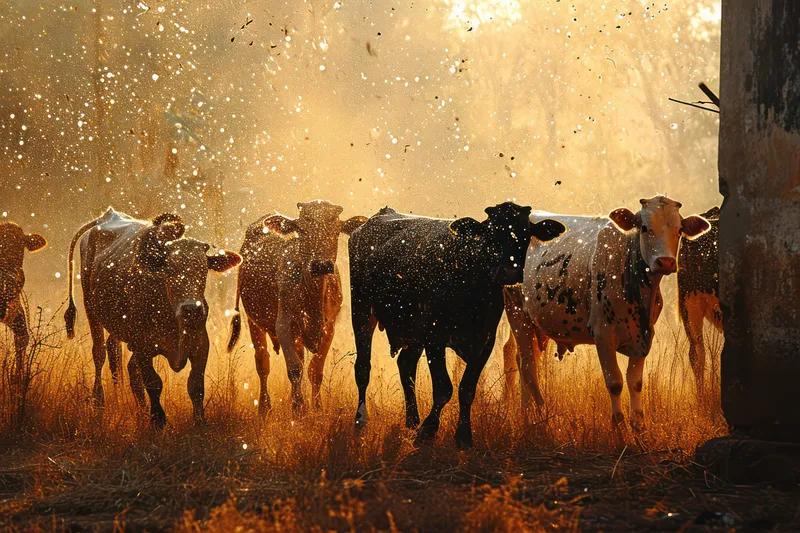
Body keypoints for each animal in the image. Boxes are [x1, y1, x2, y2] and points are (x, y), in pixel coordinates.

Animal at [64, 208, 241, 427]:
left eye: (203, 270)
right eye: (170, 270)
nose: (192, 309)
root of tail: (106, 217)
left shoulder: (200, 344)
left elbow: (196, 385)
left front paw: (199, 421)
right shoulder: (142, 347)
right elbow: (154, 383)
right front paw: (157, 419)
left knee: (120, 359)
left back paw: (137, 408)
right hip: (90, 308)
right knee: (100, 353)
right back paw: (99, 401)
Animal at [227, 200, 367, 417]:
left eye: (336, 229)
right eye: (302, 230)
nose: (320, 265)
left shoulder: (329, 328)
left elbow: (315, 370)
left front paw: (316, 407)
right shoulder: (283, 326)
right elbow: (294, 369)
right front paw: (298, 408)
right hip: (253, 320)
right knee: (262, 363)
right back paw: (264, 407)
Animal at [349, 202, 566, 449]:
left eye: (526, 234)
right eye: (491, 235)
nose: (510, 271)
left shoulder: (484, 342)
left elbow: (467, 389)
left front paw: (463, 434)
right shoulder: (434, 338)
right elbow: (444, 387)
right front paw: (429, 430)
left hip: (412, 332)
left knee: (405, 365)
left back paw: (412, 419)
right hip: (361, 311)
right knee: (363, 369)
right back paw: (361, 421)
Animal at [504, 196, 710, 431]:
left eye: (679, 229)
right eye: (644, 227)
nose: (665, 262)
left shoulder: (645, 336)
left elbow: (635, 382)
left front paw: (638, 424)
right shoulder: (603, 335)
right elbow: (615, 382)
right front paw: (618, 425)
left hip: (537, 327)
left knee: (525, 362)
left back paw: (527, 417)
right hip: (517, 314)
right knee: (528, 368)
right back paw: (542, 414)